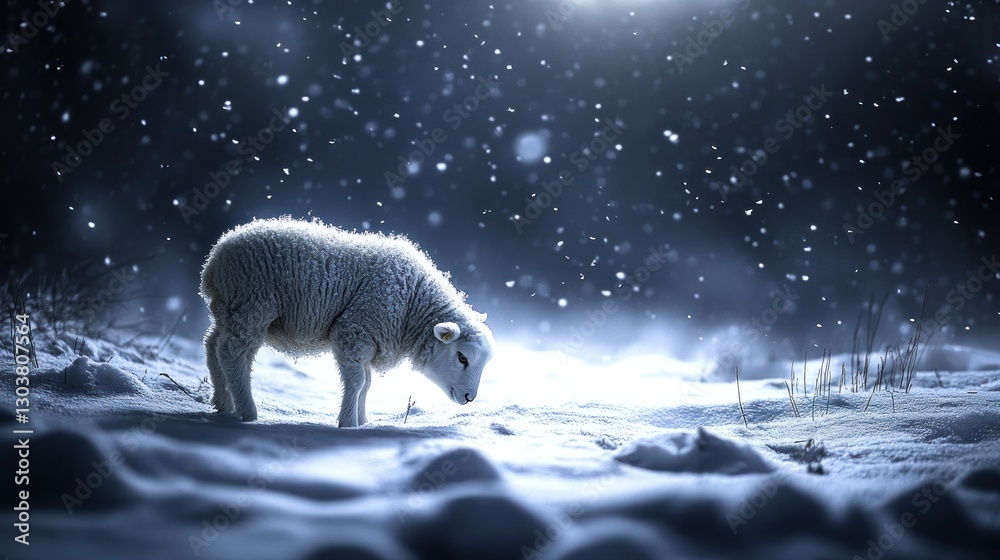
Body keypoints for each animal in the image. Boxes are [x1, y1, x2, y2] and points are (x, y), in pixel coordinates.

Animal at [199, 217, 494, 427]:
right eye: (462, 357)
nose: (470, 398)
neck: (413, 301)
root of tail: (214, 260)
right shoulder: (355, 330)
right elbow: (358, 382)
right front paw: (348, 424)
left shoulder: (369, 341)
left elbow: (367, 383)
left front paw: (363, 422)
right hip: (253, 304)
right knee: (232, 352)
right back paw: (248, 413)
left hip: (231, 310)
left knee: (214, 347)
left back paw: (223, 404)